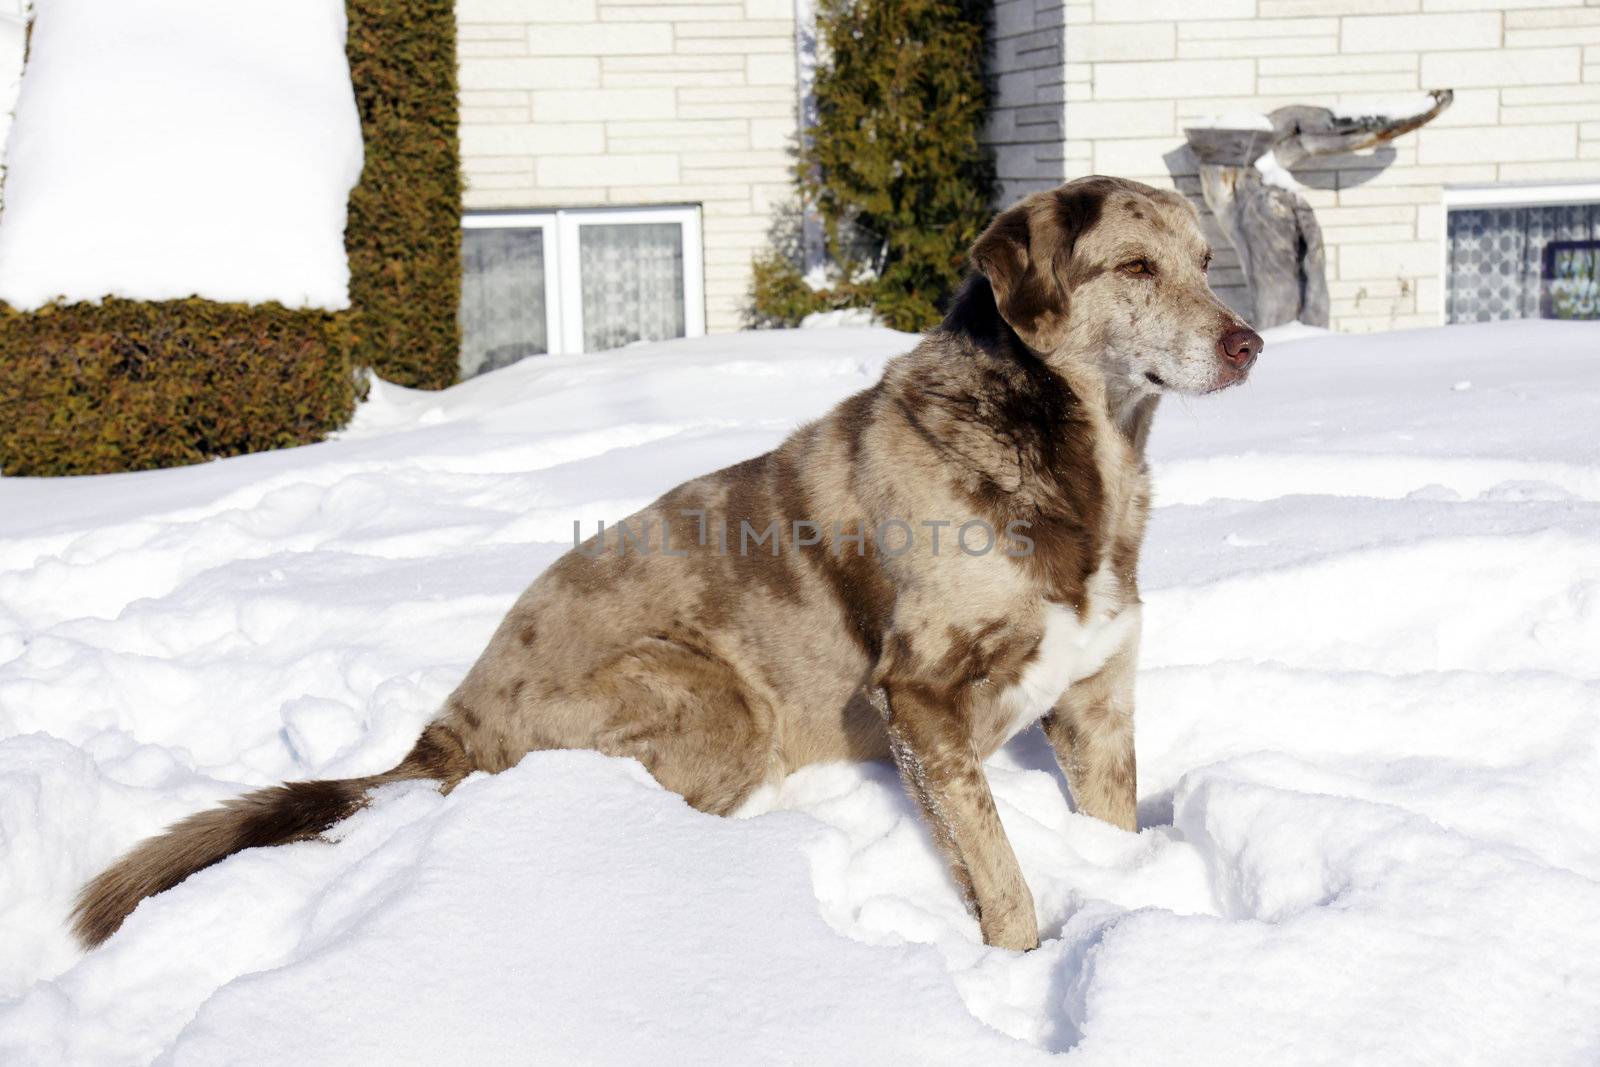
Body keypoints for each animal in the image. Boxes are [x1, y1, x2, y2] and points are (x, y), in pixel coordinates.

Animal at [75, 175, 1260, 953]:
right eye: (1135, 267)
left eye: (1209, 264)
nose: (1248, 343)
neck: (1076, 455)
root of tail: (443, 734)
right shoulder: (918, 697)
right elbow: (1000, 876)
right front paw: (1020, 963)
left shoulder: (1096, 704)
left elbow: (1106, 826)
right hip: (719, 697)